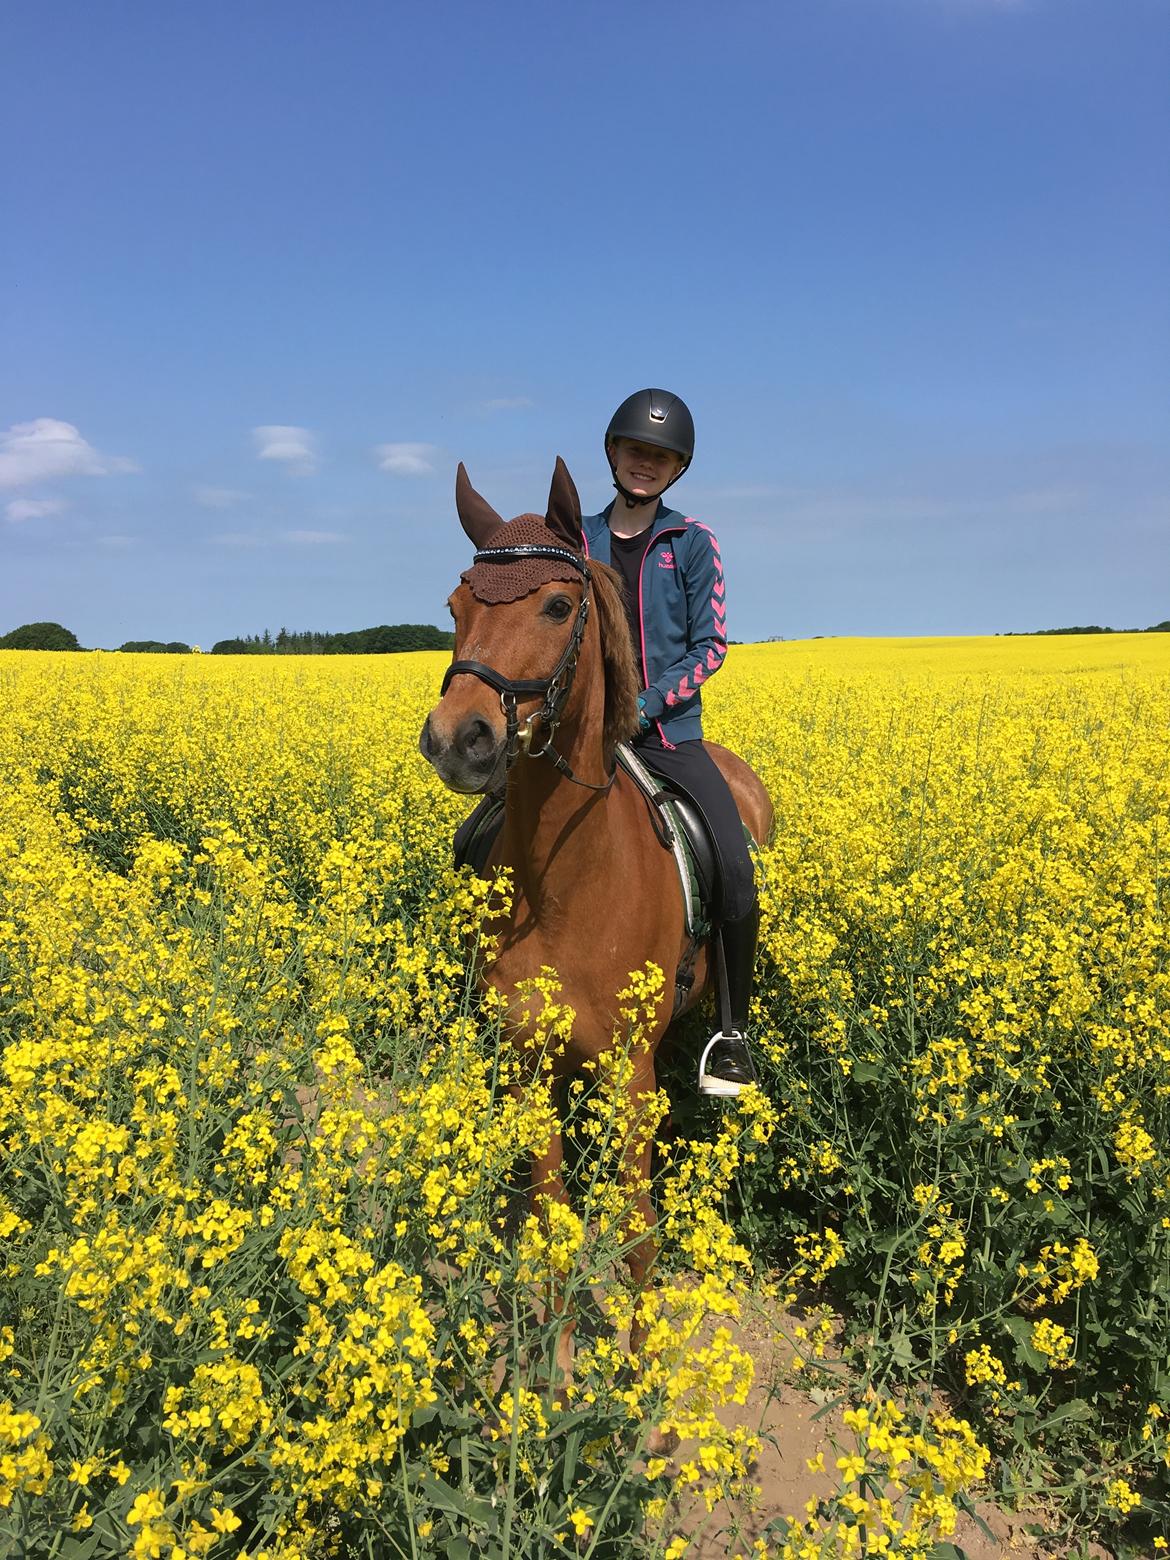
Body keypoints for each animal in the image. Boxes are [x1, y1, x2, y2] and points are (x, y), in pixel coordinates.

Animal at [419, 456, 773, 1360]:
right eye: (454, 608)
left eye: (555, 605)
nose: (457, 740)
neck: (566, 881)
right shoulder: (531, 1063)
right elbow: (553, 1217)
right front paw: (554, 1356)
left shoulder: (630, 1074)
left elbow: (639, 1231)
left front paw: (639, 1368)